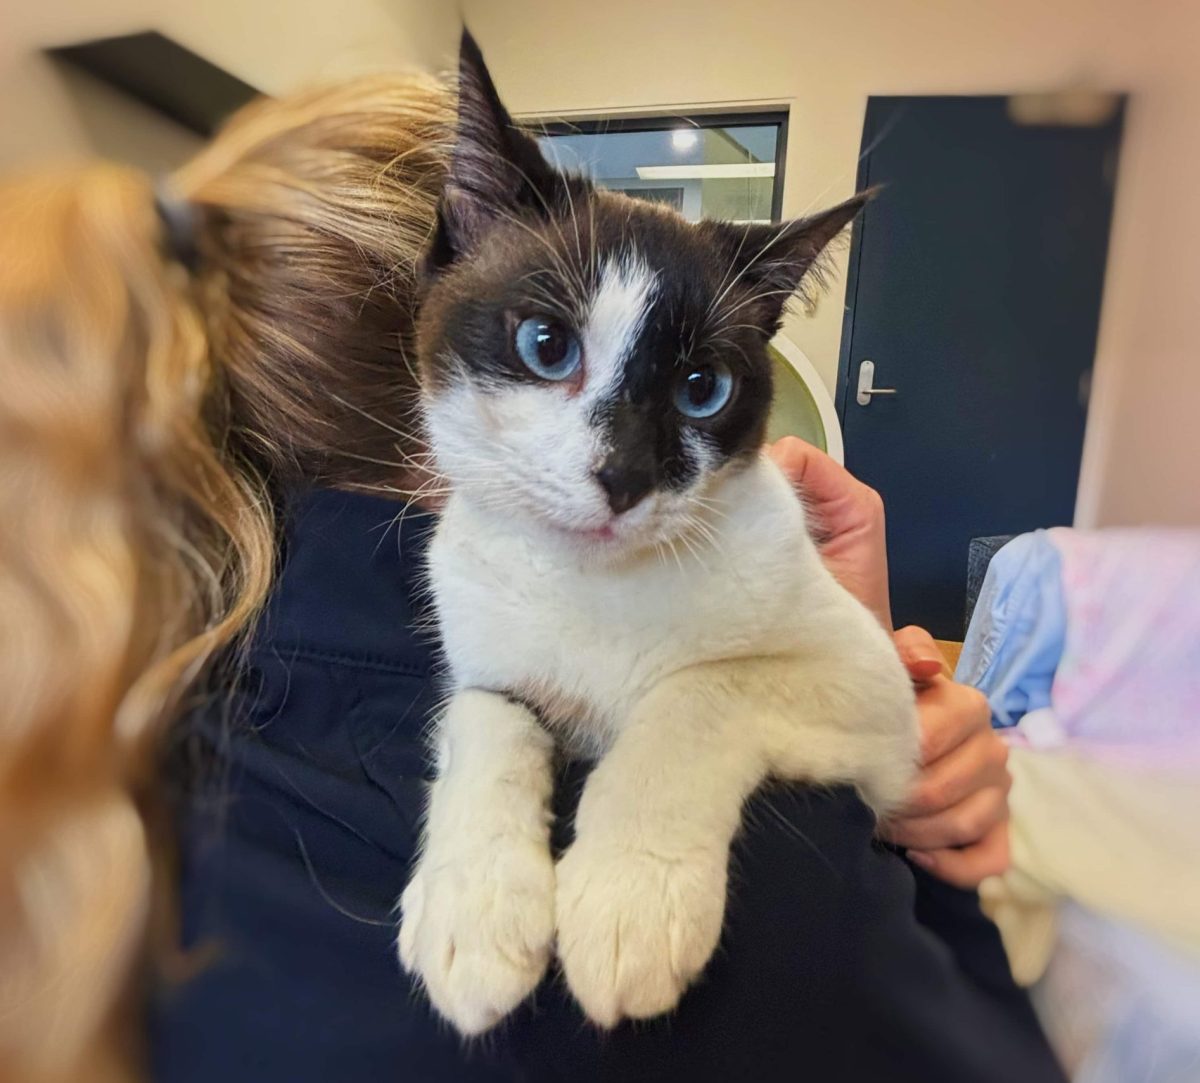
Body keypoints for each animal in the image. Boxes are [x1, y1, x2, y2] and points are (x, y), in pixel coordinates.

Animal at [398, 29, 912, 1037]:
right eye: (546, 346)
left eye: (702, 389)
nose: (624, 476)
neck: (596, 586)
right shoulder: (483, 648)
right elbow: (482, 715)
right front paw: (472, 913)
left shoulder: (879, 698)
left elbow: (699, 689)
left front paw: (629, 902)